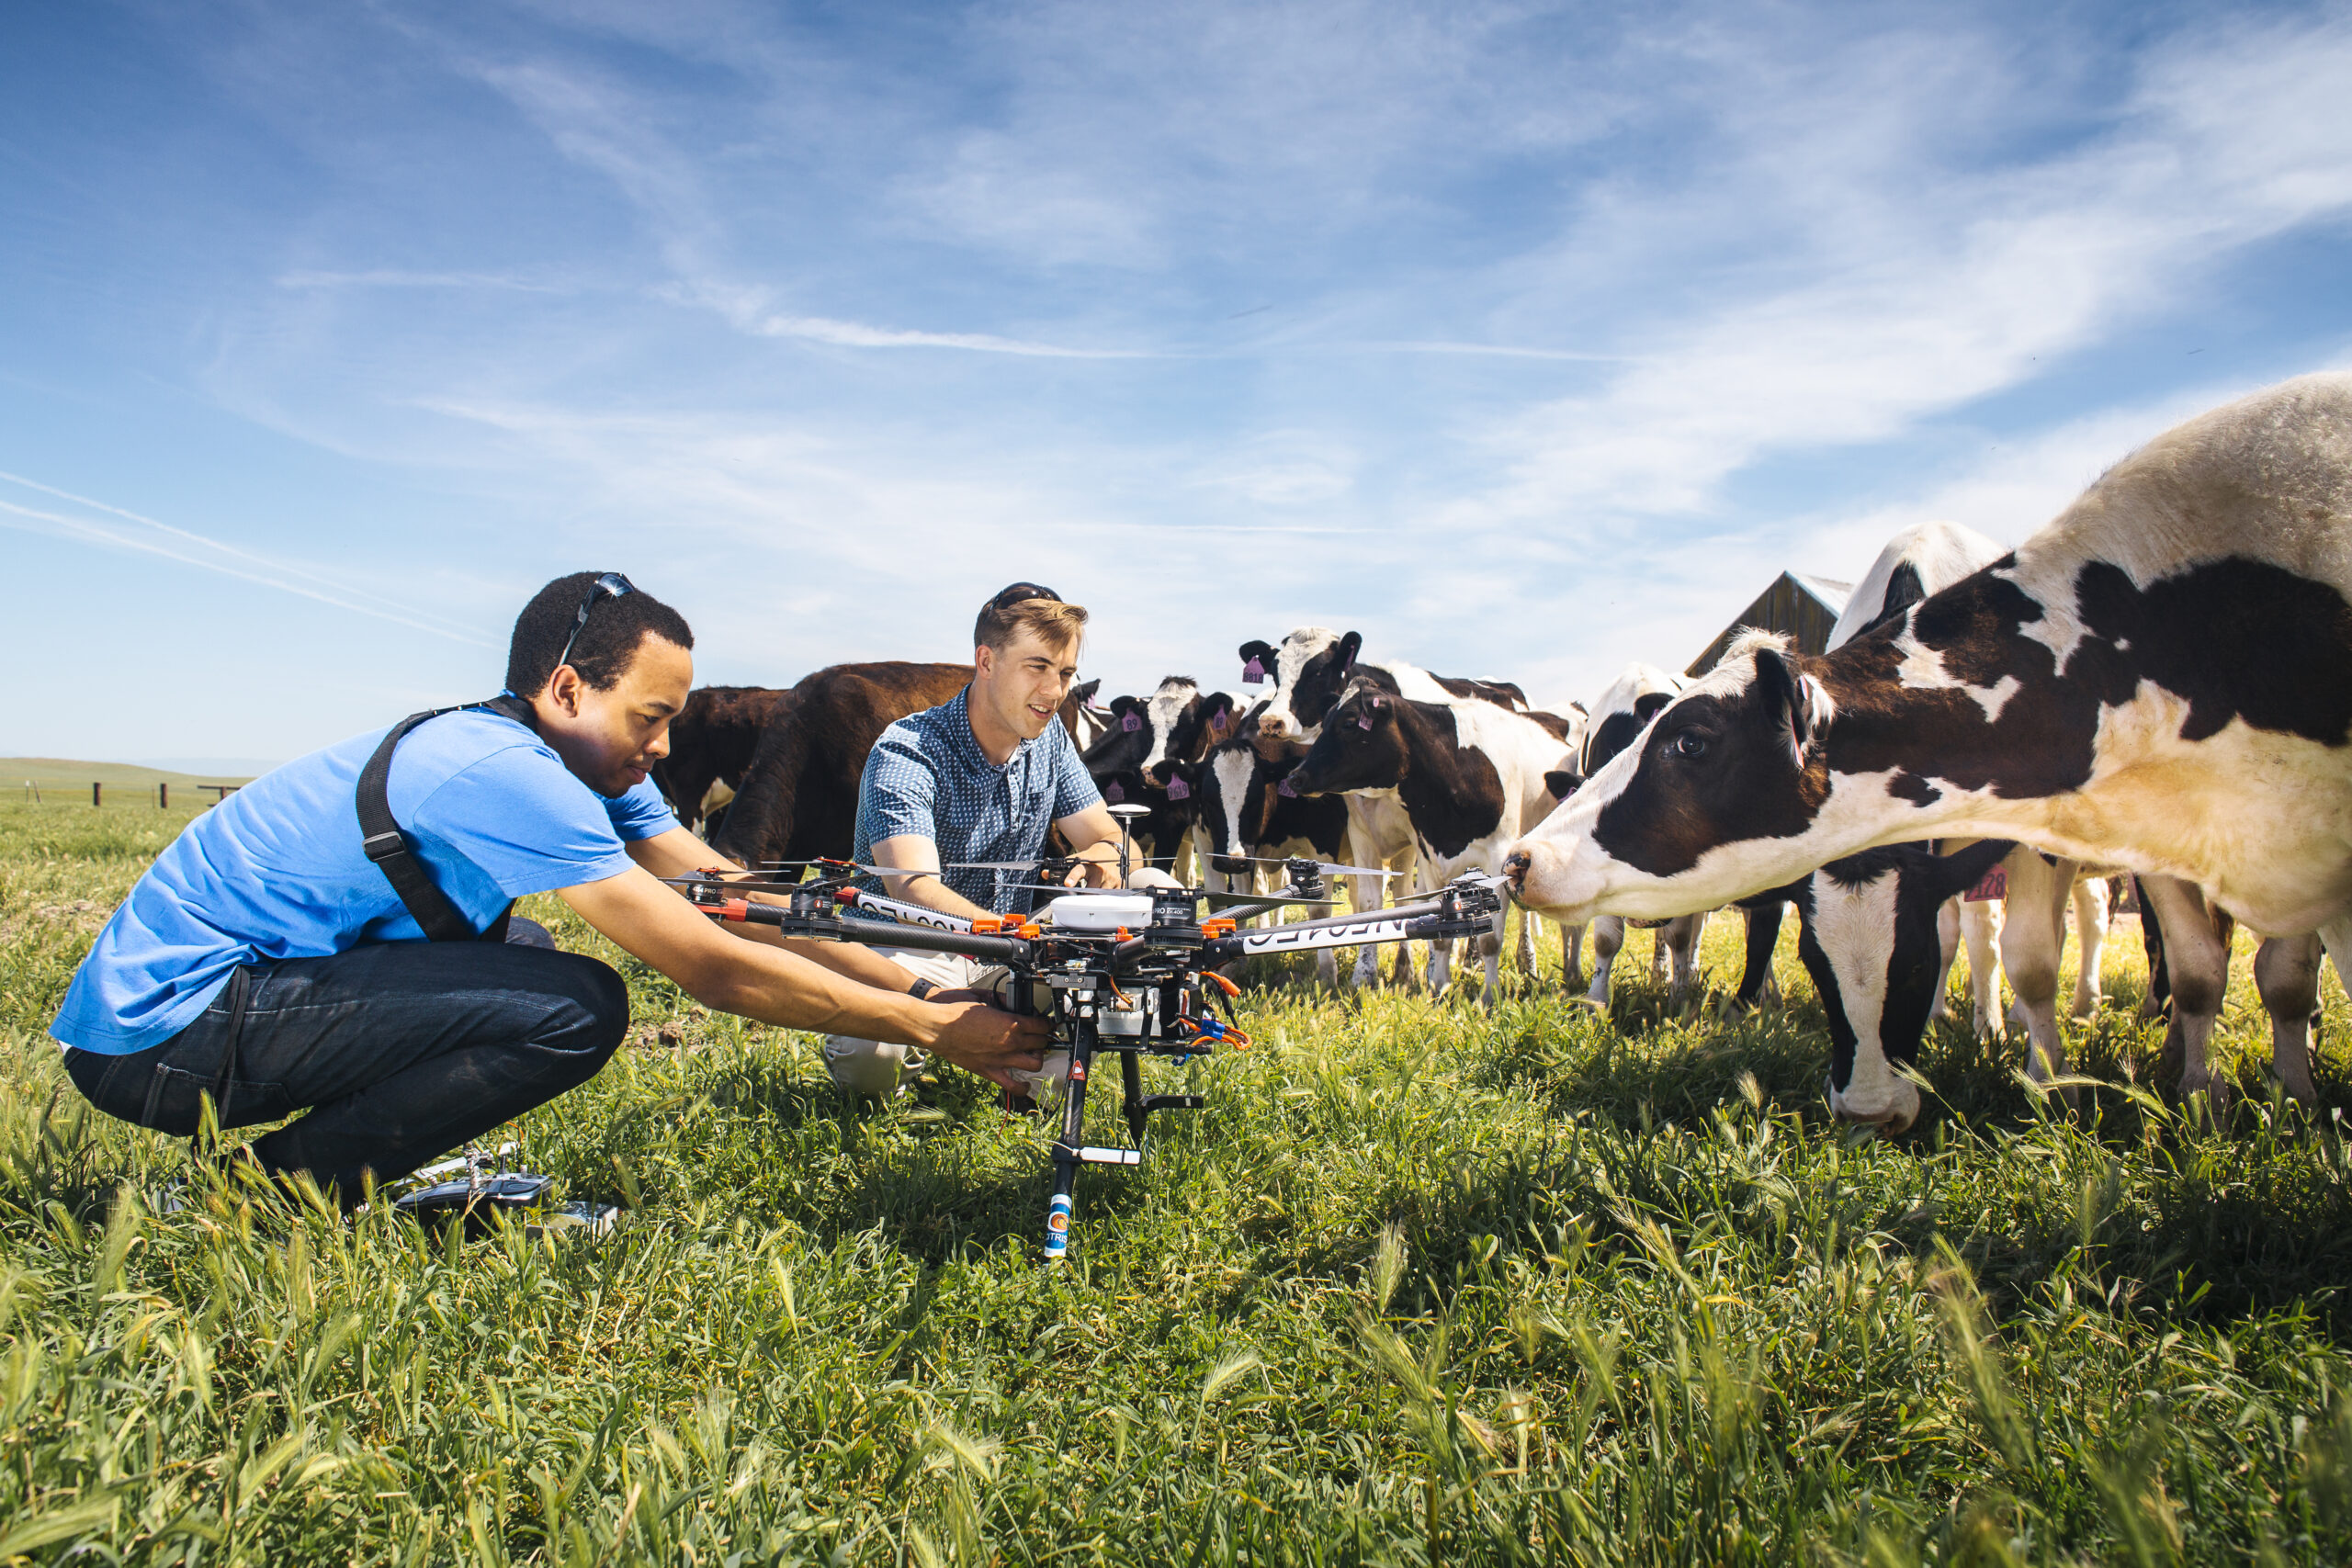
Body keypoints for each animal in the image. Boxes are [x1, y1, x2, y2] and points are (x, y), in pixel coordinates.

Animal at [1514, 376, 2352, 1104]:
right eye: (1817, 964)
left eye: (1690, 743)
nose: (1870, 1109)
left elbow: (2038, 957)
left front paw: (2058, 1078)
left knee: (2076, 930)